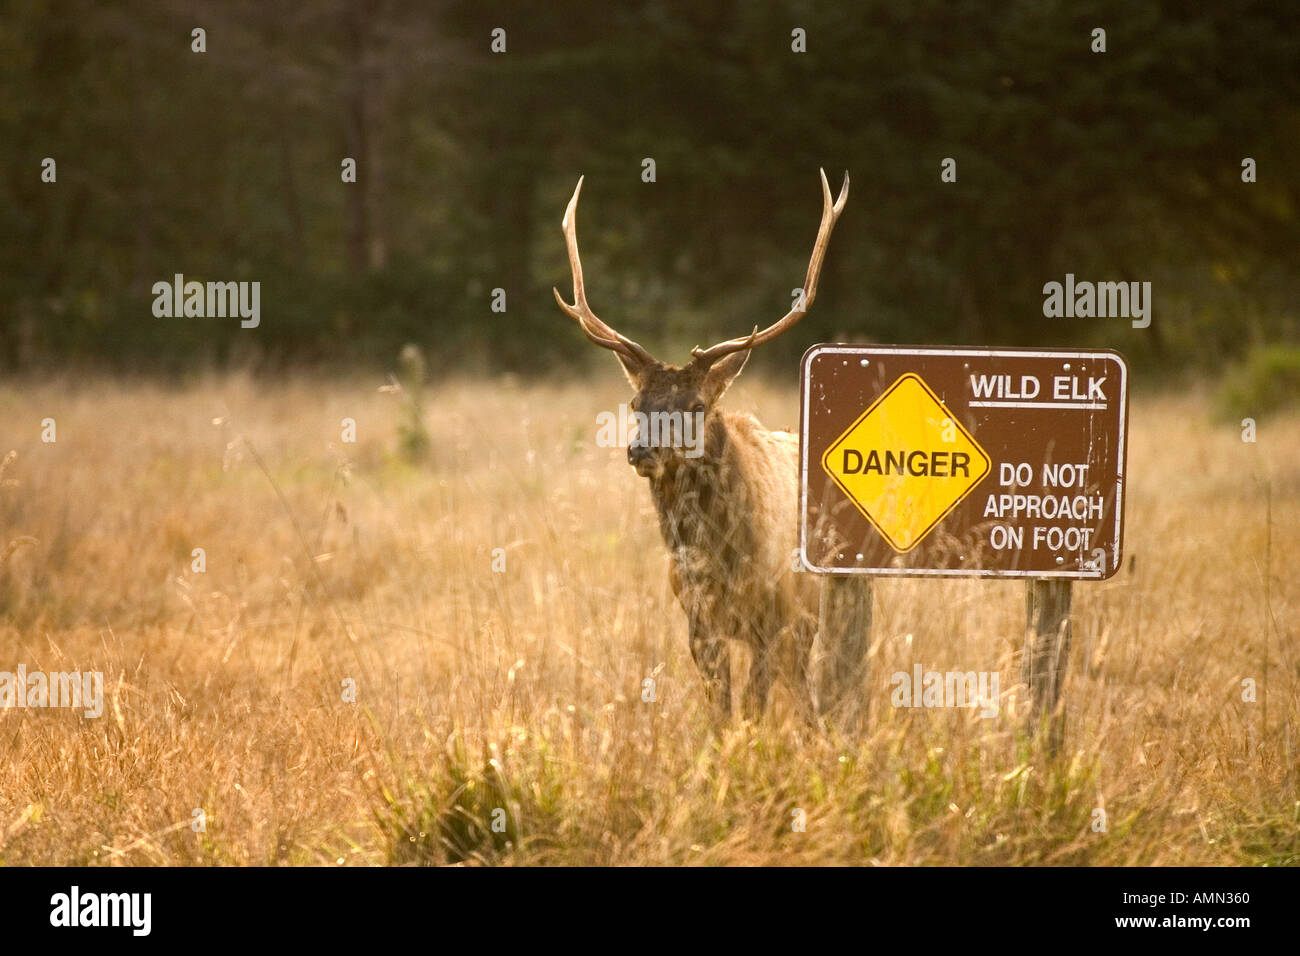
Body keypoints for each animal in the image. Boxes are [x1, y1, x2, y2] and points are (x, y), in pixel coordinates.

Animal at [553, 171, 847, 723]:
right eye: (637, 401)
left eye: (694, 405)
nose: (640, 451)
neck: (717, 558)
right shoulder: (697, 620)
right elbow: (721, 711)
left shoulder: (771, 616)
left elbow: (752, 708)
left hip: (813, 610)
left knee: (807, 692)